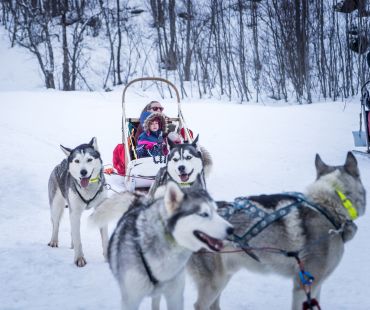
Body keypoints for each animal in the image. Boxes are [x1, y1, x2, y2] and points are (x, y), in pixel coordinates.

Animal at [47, 137, 107, 266]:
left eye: (89, 159)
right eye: (77, 161)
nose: (83, 172)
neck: (88, 190)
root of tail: (61, 163)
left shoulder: (101, 210)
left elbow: (105, 239)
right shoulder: (74, 213)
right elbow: (78, 239)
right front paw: (79, 258)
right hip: (56, 207)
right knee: (56, 224)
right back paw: (54, 241)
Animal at [108, 182, 233, 310]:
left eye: (217, 211)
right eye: (203, 214)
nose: (231, 230)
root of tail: (140, 201)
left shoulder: (175, 296)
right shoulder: (131, 300)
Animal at [189, 153, 366, 310]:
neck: (328, 206)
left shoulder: (315, 285)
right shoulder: (304, 286)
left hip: (225, 276)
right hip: (215, 282)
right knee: (200, 305)